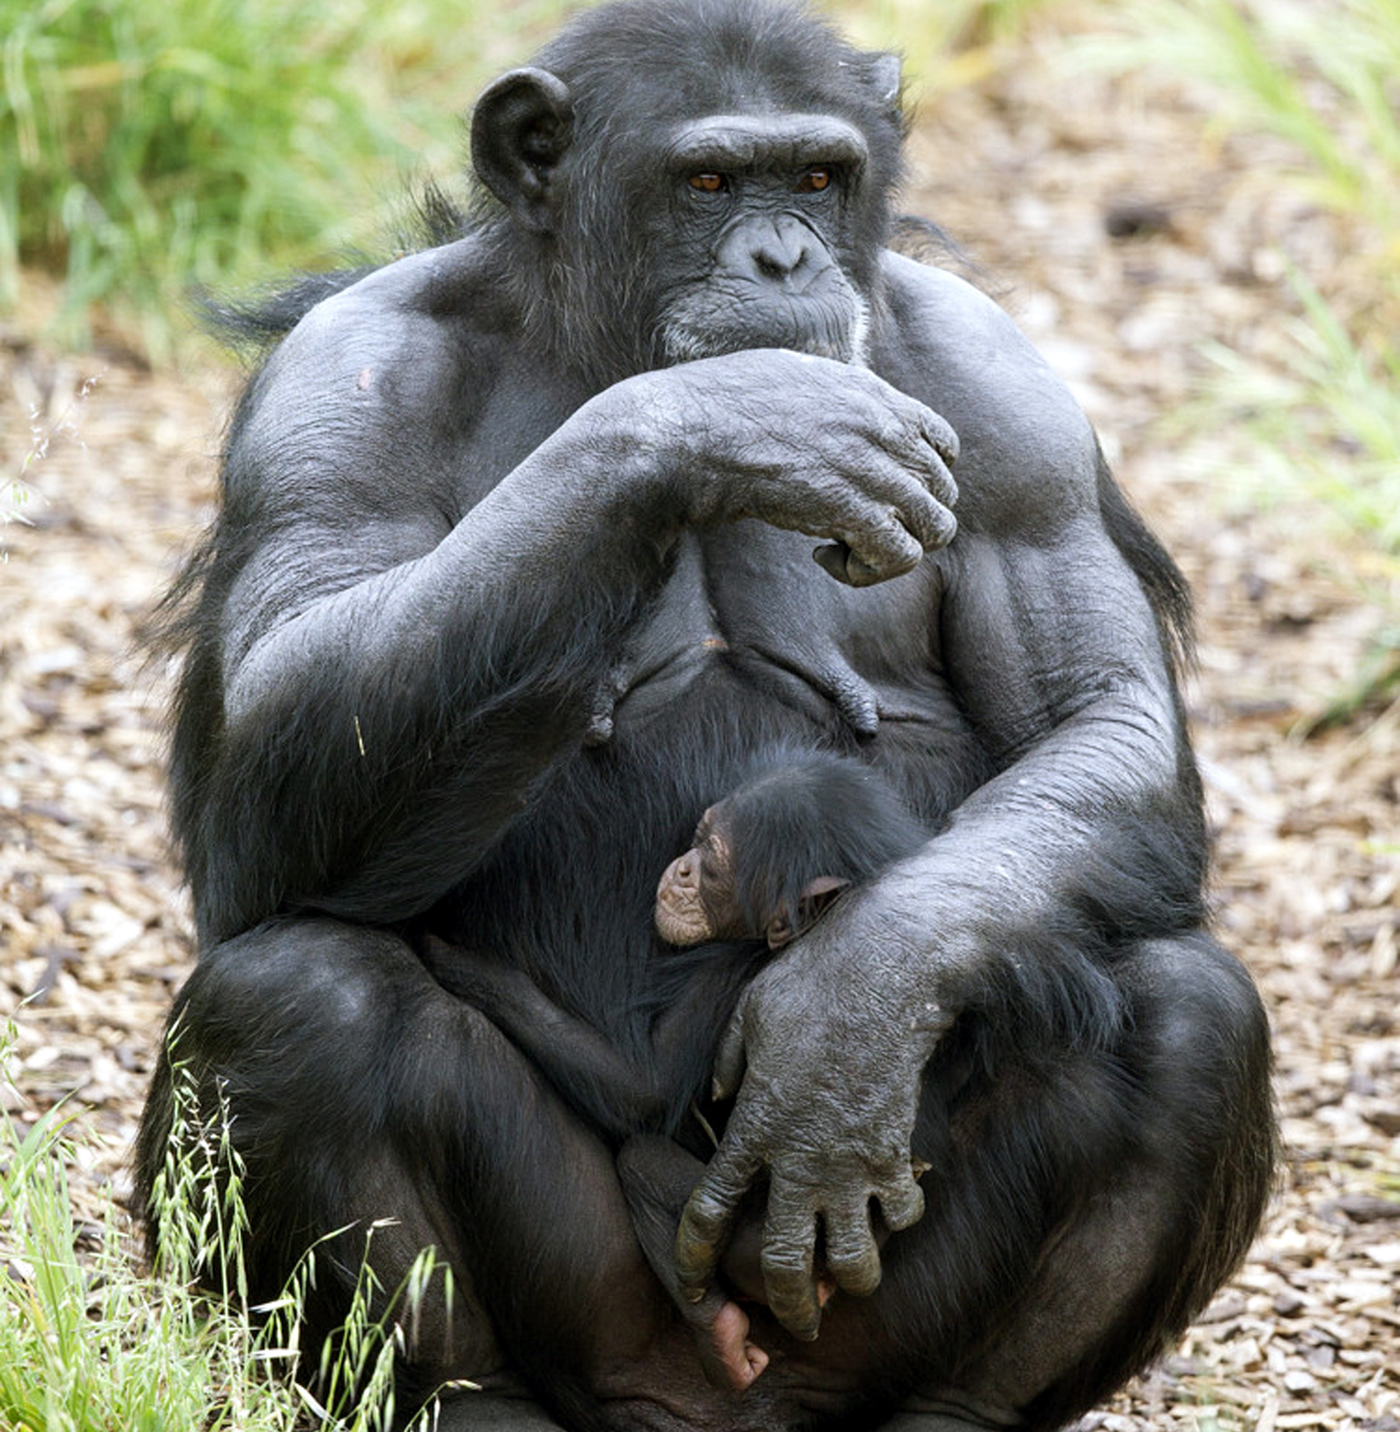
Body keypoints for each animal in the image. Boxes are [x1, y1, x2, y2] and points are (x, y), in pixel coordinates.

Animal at [426, 756, 927, 1391]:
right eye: (698, 835)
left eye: (712, 857)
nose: (684, 867)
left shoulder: (726, 971)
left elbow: (643, 1090)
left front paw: (462, 964)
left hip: (753, 1247)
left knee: (643, 1163)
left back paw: (718, 1333)